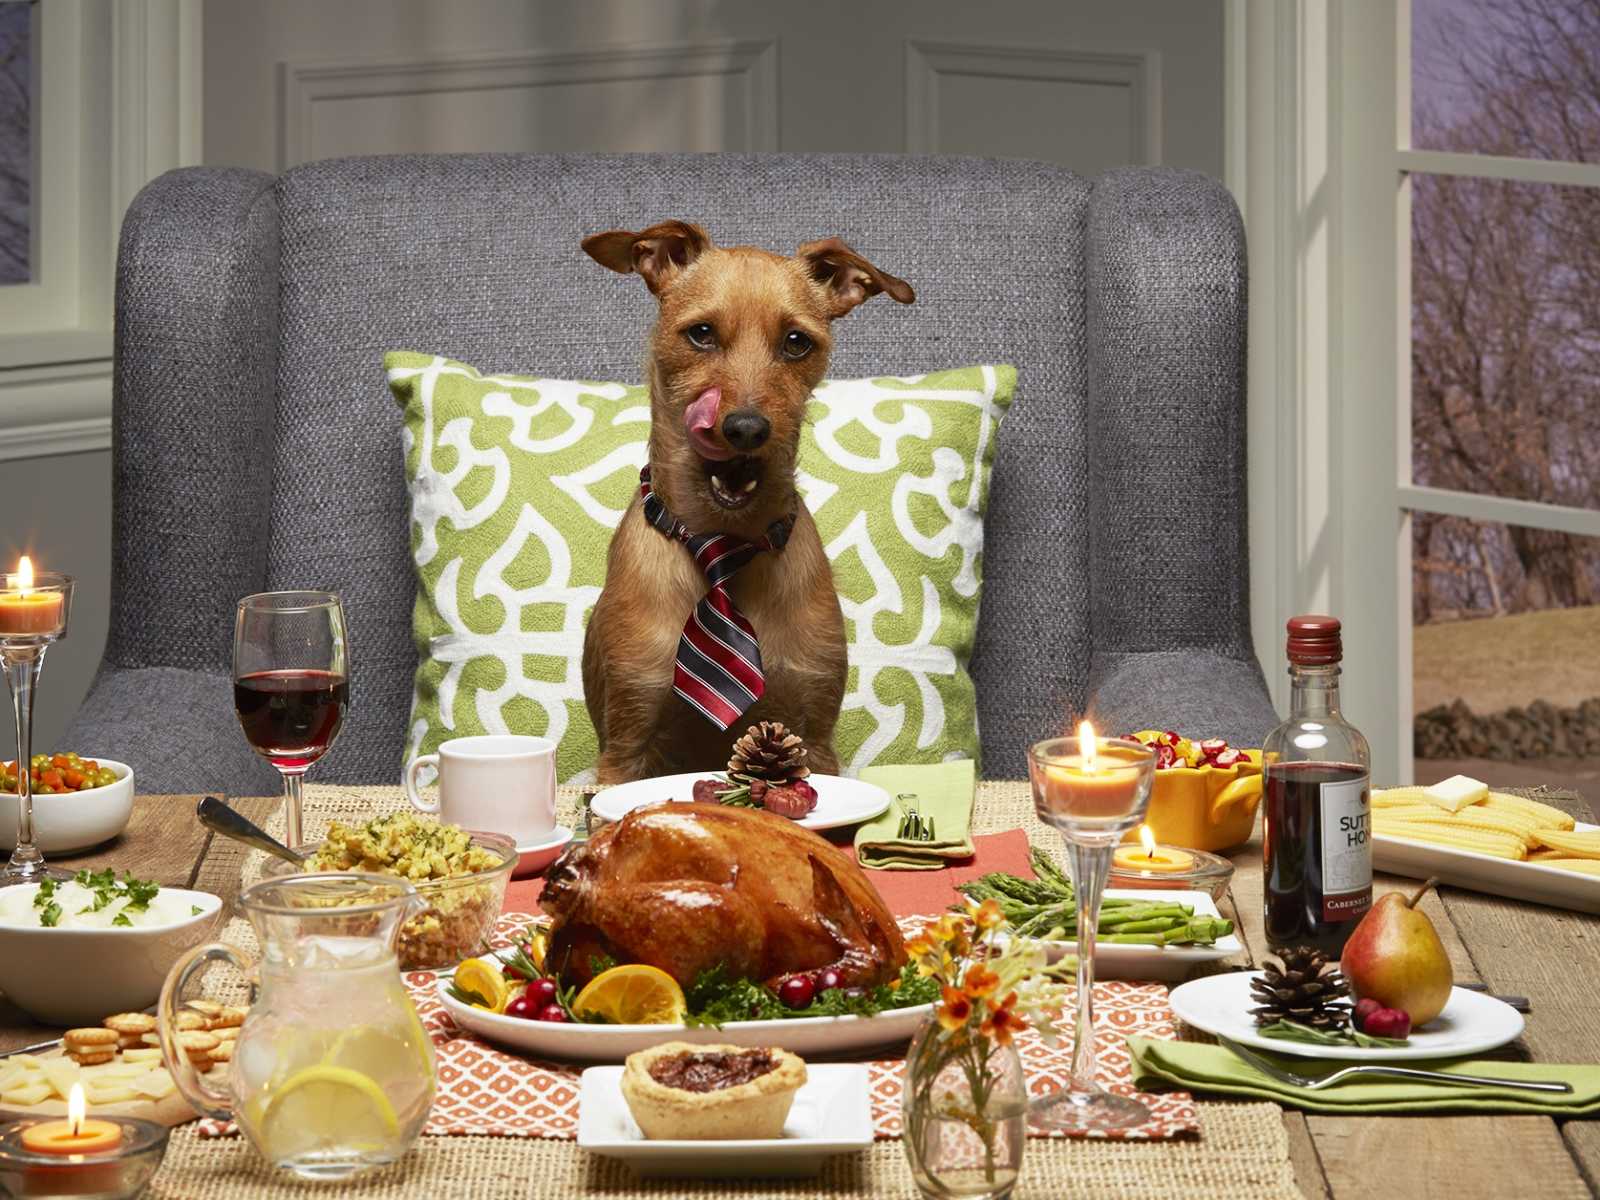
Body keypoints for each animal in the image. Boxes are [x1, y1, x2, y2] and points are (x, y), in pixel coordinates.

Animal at [585, 224, 915, 790]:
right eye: (701, 334)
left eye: (796, 342)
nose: (745, 429)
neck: (723, 541)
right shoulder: (628, 742)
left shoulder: (813, 732)